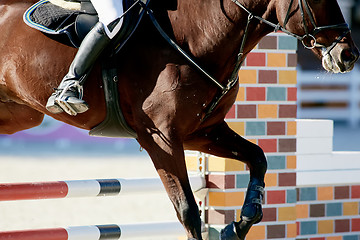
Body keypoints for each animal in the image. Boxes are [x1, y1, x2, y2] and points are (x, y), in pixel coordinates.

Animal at [0, 0, 358, 238]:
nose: (349, 55)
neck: (197, 36)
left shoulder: (203, 132)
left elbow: (258, 158)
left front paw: (240, 222)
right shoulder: (160, 138)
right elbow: (187, 210)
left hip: (19, 115)